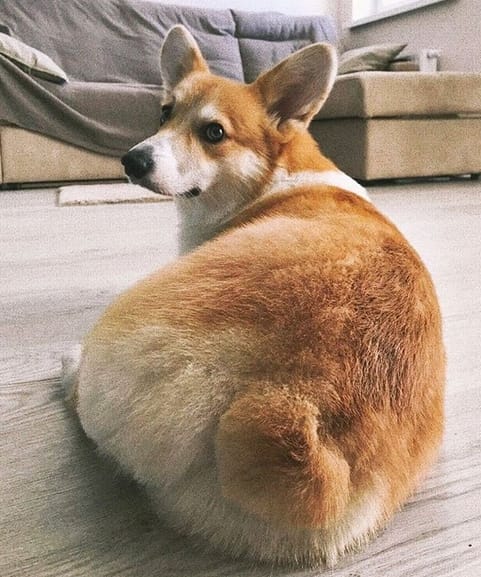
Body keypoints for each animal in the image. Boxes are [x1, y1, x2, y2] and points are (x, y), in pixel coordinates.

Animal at [65, 25, 445, 567]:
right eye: (164, 112)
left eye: (214, 133)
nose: (132, 160)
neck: (272, 176)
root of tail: (283, 402)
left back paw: (69, 367)